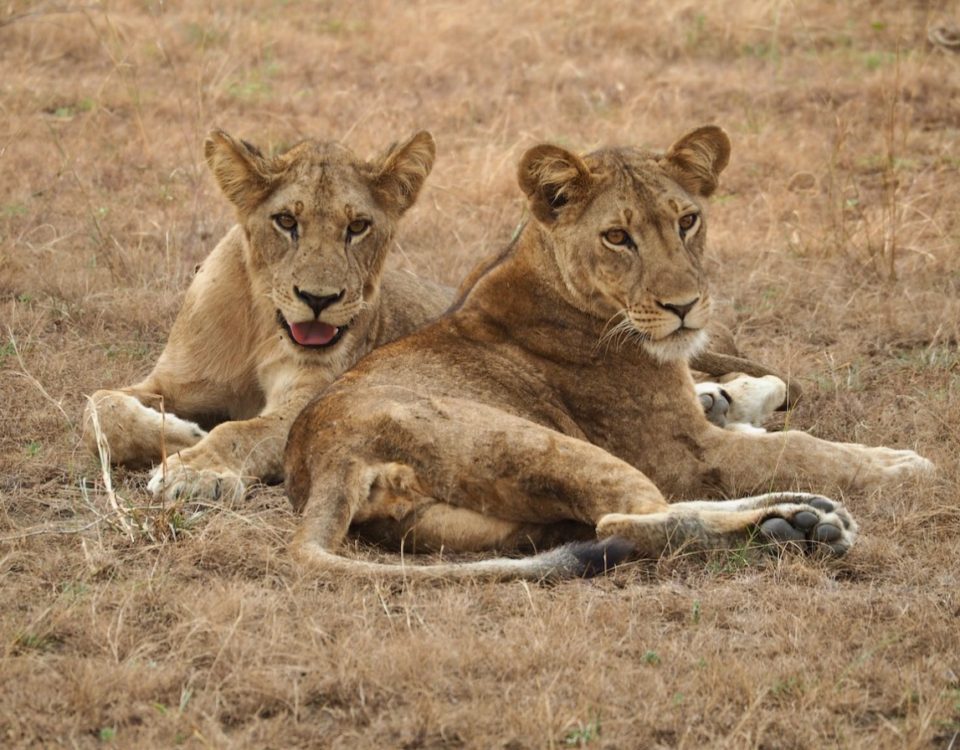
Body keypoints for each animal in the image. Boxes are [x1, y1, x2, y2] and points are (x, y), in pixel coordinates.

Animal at [80, 130, 448, 506]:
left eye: (358, 226)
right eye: (286, 221)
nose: (318, 299)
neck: (263, 325)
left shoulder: (314, 404)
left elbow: (240, 431)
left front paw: (195, 470)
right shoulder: (171, 382)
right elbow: (98, 406)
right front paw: (186, 433)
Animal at [282, 125, 932, 580]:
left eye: (687, 221)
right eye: (617, 237)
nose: (684, 306)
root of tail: (323, 457)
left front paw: (735, 399)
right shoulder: (687, 455)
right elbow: (799, 447)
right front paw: (897, 465)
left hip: (505, 524)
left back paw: (795, 522)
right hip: (539, 442)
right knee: (627, 518)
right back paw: (803, 520)